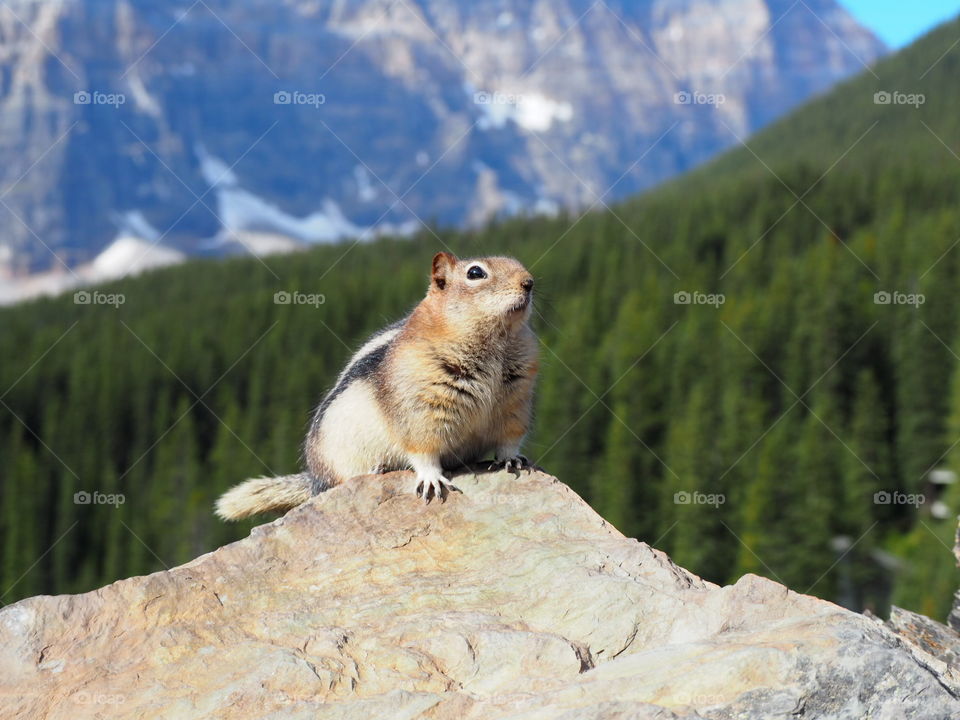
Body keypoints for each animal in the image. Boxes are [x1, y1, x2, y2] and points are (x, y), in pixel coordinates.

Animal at [215, 252, 538, 520]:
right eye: (475, 272)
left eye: (516, 262)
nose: (529, 282)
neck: (495, 342)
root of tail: (314, 479)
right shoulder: (421, 405)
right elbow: (422, 446)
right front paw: (432, 478)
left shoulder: (516, 399)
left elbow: (510, 436)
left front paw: (512, 459)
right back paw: (379, 468)